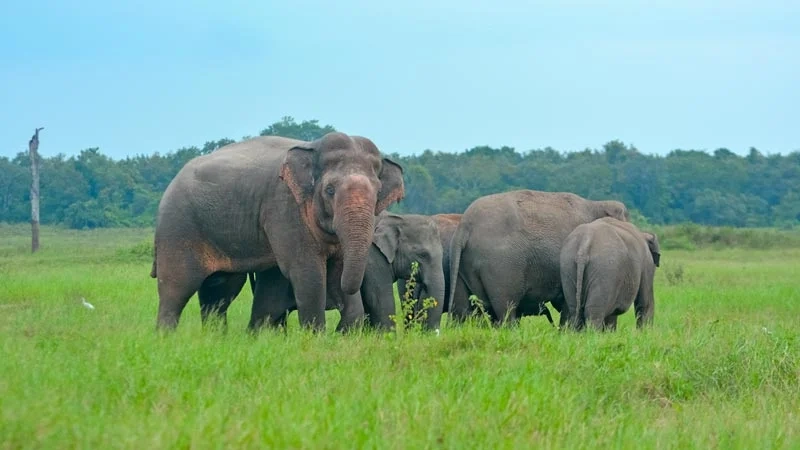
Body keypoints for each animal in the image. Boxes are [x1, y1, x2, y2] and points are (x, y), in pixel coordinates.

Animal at [150, 132, 405, 332]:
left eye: (378, 192)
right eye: (330, 190)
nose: (336, 304)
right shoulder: (285, 207)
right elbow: (307, 273)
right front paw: (315, 339)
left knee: (220, 290)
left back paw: (215, 339)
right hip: (178, 226)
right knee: (177, 286)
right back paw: (166, 338)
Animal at [447, 189, 630, 327]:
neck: (597, 204)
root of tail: (464, 227)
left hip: (466, 266)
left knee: (469, 307)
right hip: (501, 267)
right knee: (505, 307)